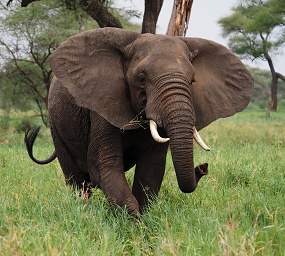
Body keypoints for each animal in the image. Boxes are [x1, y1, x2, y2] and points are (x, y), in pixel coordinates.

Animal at [23, 27, 251, 215]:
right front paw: (134, 225)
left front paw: (143, 225)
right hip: (56, 125)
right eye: (141, 77)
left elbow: (151, 169)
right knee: (77, 181)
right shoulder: (104, 103)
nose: (203, 167)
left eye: (192, 80)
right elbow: (104, 166)